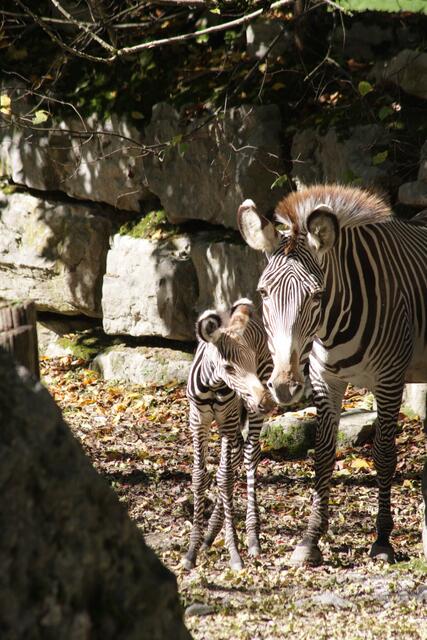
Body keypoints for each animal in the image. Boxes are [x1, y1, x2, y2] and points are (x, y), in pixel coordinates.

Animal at [183, 298, 274, 571]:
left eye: (250, 361)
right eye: (228, 367)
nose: (267, 402)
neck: (213, 386)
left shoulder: (228, 418)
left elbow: (224, 478)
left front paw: (234, 552)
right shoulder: (198, 420)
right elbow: (200, 477)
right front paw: (192, 550)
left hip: (248, 411)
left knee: (249, 455)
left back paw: (252, 538)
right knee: (237, 455)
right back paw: (210, 535)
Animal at [237, 184, 427, 565]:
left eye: (316, 295)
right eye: (264, 292)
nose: (284, 386)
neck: (332, 325)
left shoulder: (389, 379)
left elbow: (384, 454)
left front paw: (383, 539)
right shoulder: (326, 378)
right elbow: (323, 454)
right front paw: (310, 541)